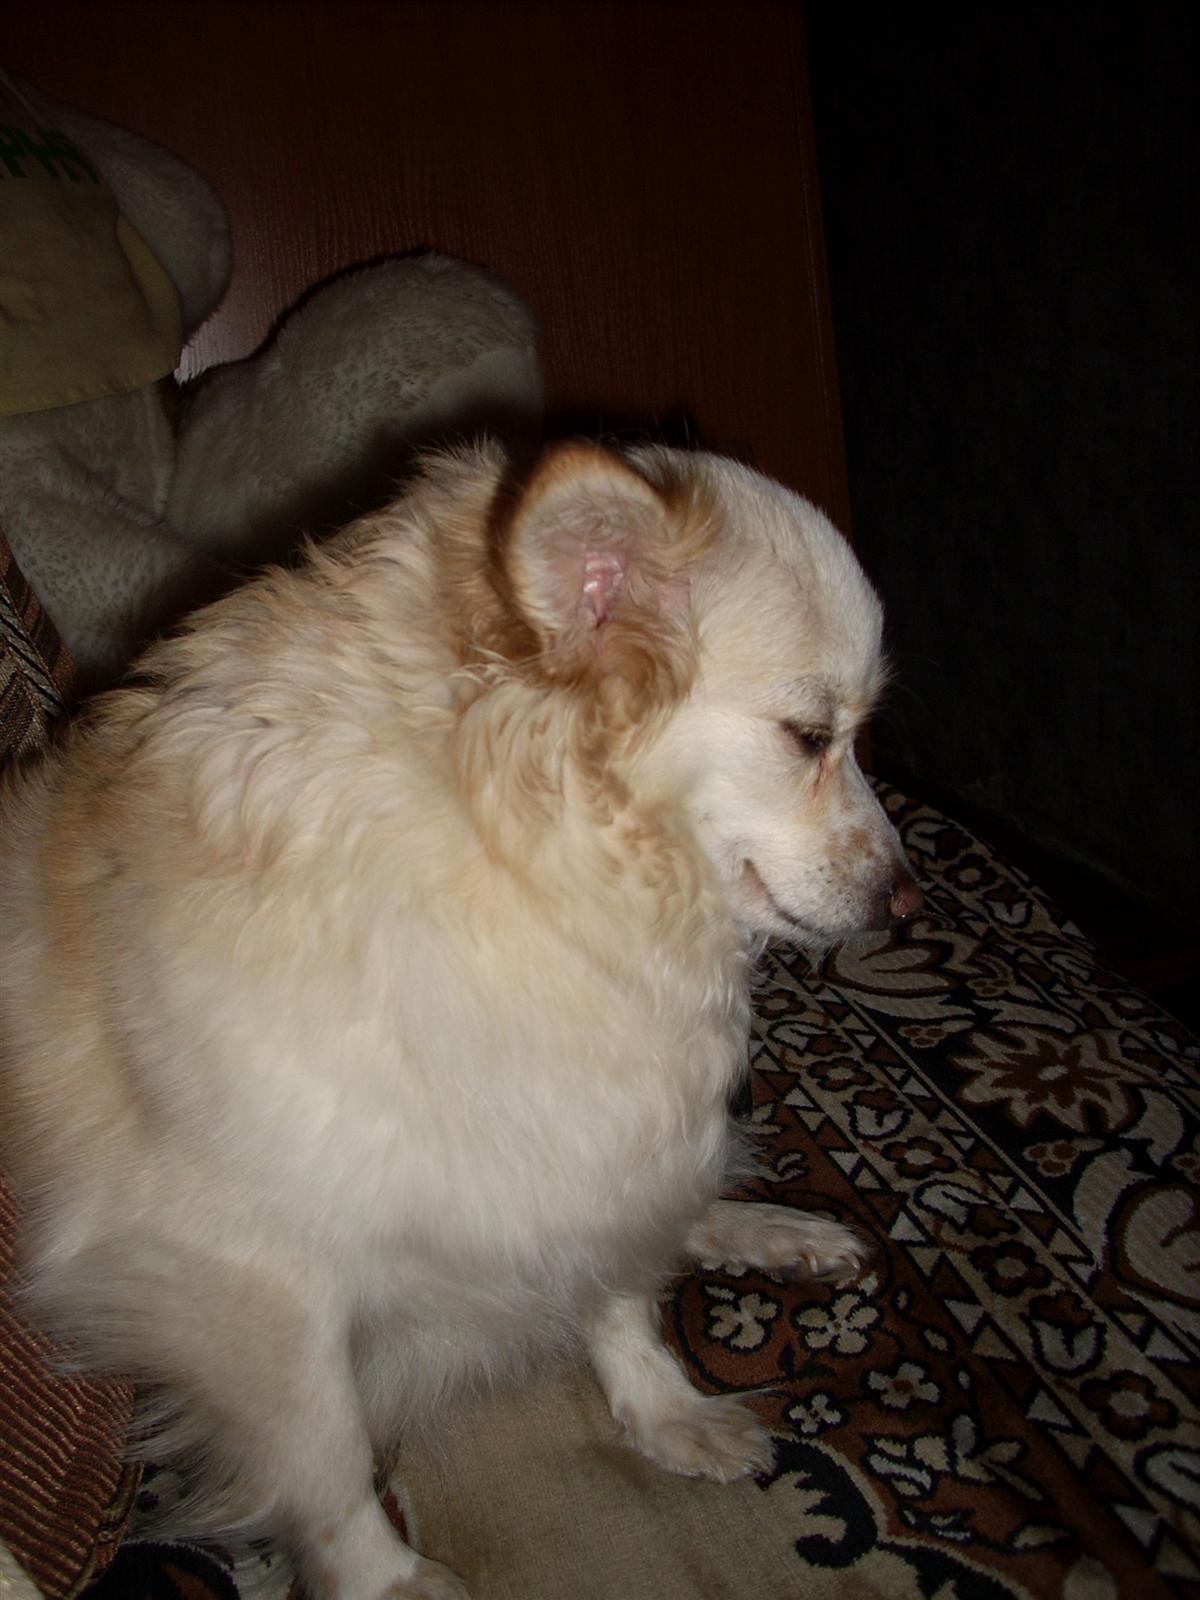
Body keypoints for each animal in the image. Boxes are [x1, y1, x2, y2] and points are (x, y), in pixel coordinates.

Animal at [0, 439, 920, 1599]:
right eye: (809, 737)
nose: (907, 899)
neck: (549, 878)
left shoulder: (603, 1149)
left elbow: (620, 1294)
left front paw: (664, 1409)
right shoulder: (250, 1282)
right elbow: (327, 1453)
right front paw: (389, 1581)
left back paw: (783, 1233)